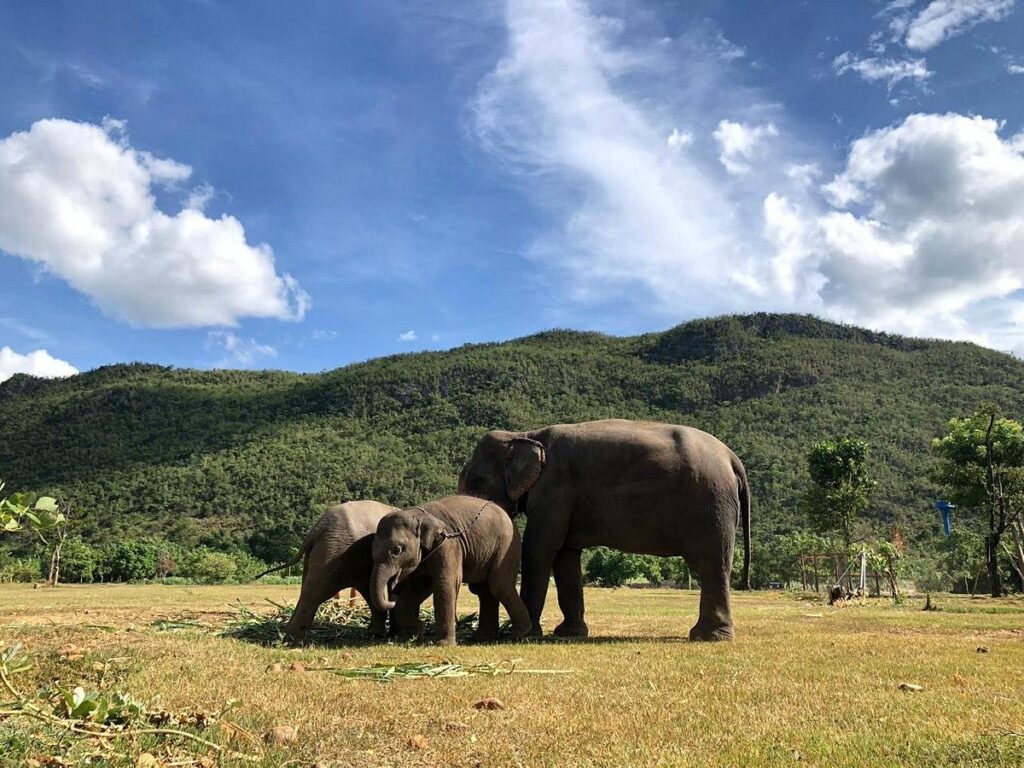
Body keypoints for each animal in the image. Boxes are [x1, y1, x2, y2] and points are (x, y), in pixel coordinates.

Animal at [368, 495, 532, 647]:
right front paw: (420, 630)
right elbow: (419, 586)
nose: (393, 597)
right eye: (372, 552)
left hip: (507, 545)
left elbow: (444, 583)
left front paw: (442, 644)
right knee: (485, 589)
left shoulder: (448, 543)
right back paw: (482, 638)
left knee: (499, 585)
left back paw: (519, 633)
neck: (417, 513)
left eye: (397, 550)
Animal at [456, 421, 753, 643]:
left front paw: (524, 635)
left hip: (711, 506)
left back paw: (709, 637)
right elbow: (565, 556)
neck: (525, 435)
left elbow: (539, 549)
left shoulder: (553, 491)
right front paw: (568, 634)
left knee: (711, 564)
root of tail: (732, 458)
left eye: (477, 481)